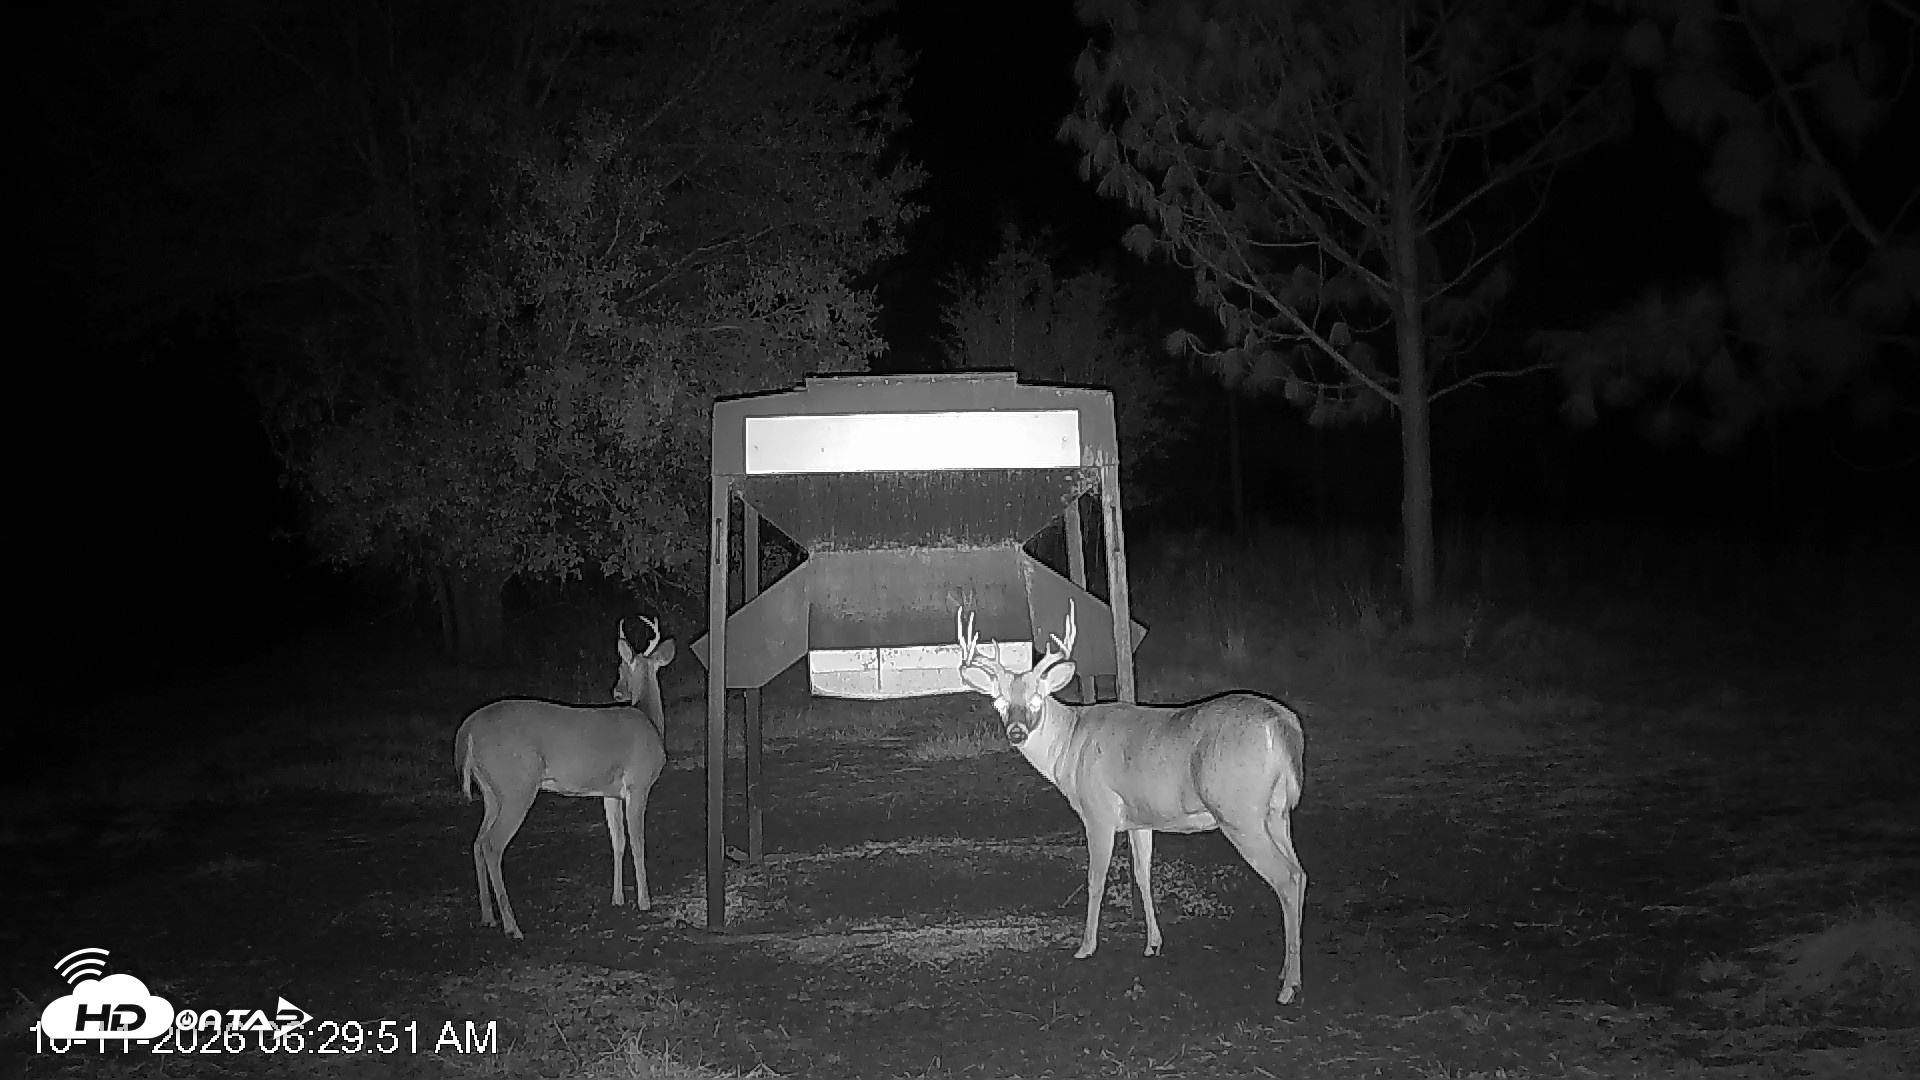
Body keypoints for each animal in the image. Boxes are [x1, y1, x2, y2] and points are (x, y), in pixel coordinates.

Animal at [452, 617, 675, 939]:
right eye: (620, 668)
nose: (616, 692)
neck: (650, 721)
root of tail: (466, 731)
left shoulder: (609, 792)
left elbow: (618, 840)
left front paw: (618, 898)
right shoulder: (638, 782)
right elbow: (637, 841)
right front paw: (645, 902)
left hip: (492, 791)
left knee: (478, 842)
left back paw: (487, 916)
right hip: (517, 784)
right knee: (492, 845)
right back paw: (512, 926)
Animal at [957, 601, 1308, 1005]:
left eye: (1035, 700)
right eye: (999, 702)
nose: (1015, 732)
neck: (1069, 748)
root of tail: (1283, 726)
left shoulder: (1098, 811)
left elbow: (1095, 878)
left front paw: (1086, 946)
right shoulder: (1141, 818)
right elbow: (1142, 874)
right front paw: (1153, 943)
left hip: (1240, 812)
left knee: (1284, 878)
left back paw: (1289, 986)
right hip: (1276, 812)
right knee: (1299, 872)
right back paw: (1287, 970)